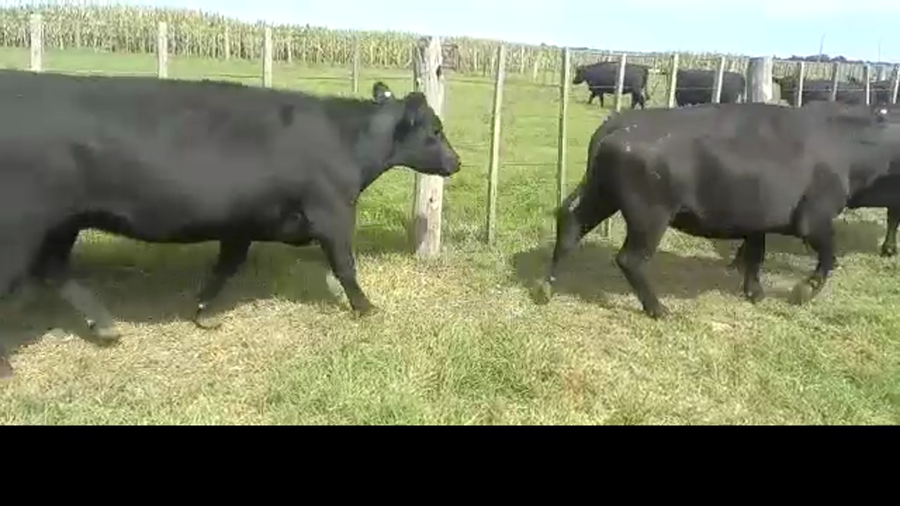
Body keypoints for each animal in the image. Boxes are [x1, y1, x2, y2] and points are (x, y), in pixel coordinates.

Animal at [0, 72, 461, 379]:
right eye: (436, 129)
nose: (456, 162)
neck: (344, 140)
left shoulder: (242, 221)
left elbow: (227, 265)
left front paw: (203, 311)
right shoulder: (331, 211)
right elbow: (345, 266)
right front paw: (365, 307)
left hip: (62, 222)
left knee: (53, 268)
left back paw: (106, 325)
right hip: (21, 226)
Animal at [536, 100, 900, 319]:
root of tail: (621, 122)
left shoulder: (757, 221)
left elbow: (756, 256)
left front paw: (755, 292)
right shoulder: (814, 218)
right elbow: (829, 256)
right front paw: (803, 291)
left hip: (601, 196)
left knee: (569, 226)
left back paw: (546, 288)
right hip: (649, 216)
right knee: (629, 259)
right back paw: (658, 309)